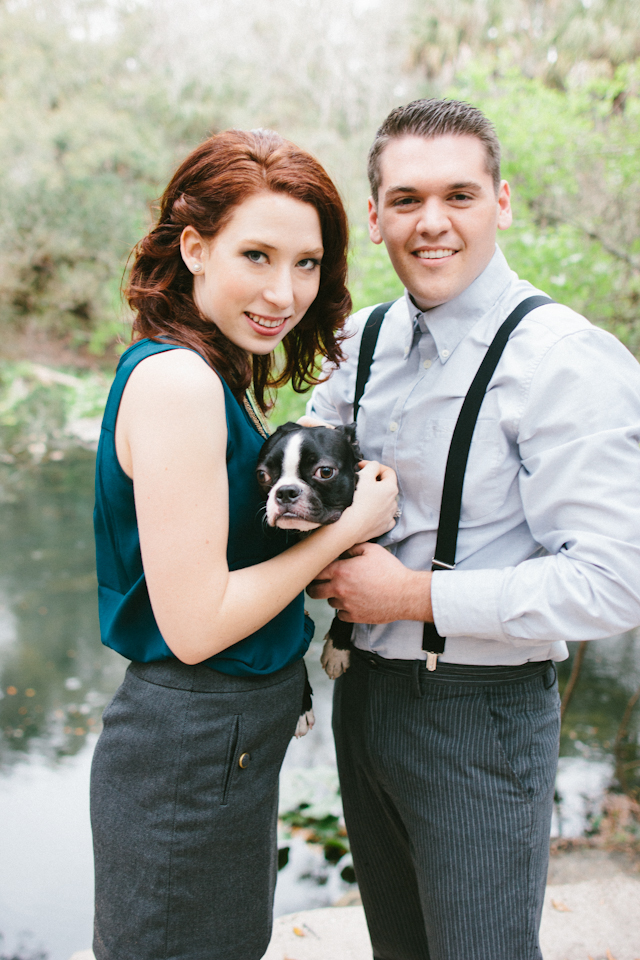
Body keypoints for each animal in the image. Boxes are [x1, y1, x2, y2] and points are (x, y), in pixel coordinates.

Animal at [258, 424, 362, 732]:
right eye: (262, 475)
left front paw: (337, 649)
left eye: (325, 472)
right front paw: (302, 706)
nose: (285, 492)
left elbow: (348, 611)